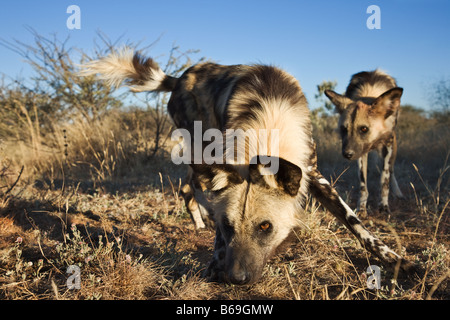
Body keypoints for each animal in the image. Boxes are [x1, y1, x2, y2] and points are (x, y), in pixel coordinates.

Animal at [324, 69, 404, 215]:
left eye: (364, 129)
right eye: (344, 129)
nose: (347, 154)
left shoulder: (387, 145)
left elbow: (384, 179)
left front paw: (384, 206)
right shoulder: (361, 152)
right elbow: (363, 185)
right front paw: (361, 208)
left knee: (391, 171)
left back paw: (398, 193)